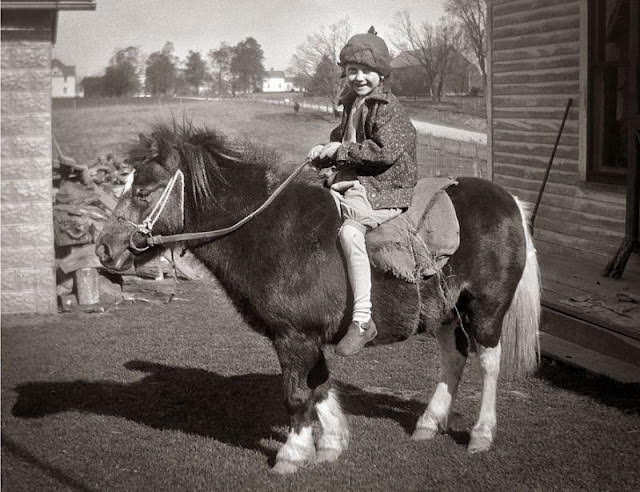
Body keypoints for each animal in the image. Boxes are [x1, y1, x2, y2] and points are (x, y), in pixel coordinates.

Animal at [96, 121, 540, 474]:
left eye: (143, 192)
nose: (103, 248)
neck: (274, 231)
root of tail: (508, 202)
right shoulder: (306, 336)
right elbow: (320, 383)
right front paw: (331, 443)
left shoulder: (293, 336)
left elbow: (296, 394)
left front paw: (292, 454)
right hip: (448, 311)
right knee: (453, 358)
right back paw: (430, 422)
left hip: (485, 309)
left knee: (489, 364)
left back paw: (482, 433)